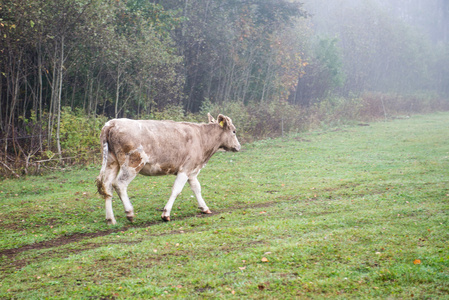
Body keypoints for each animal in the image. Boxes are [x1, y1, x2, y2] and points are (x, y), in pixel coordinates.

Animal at [96, 113, 240, 224]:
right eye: (234, 131)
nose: (238, 146)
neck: (202, 138)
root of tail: (112, 123)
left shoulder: (192, 171)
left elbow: (196, 188)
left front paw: (204, 208)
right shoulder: (185, 169)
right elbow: (176, 190)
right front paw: (166, 214)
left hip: (111, 162)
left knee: (107, 186)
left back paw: (110, 219)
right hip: (132, 163)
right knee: (119, 184)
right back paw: (129, 213)